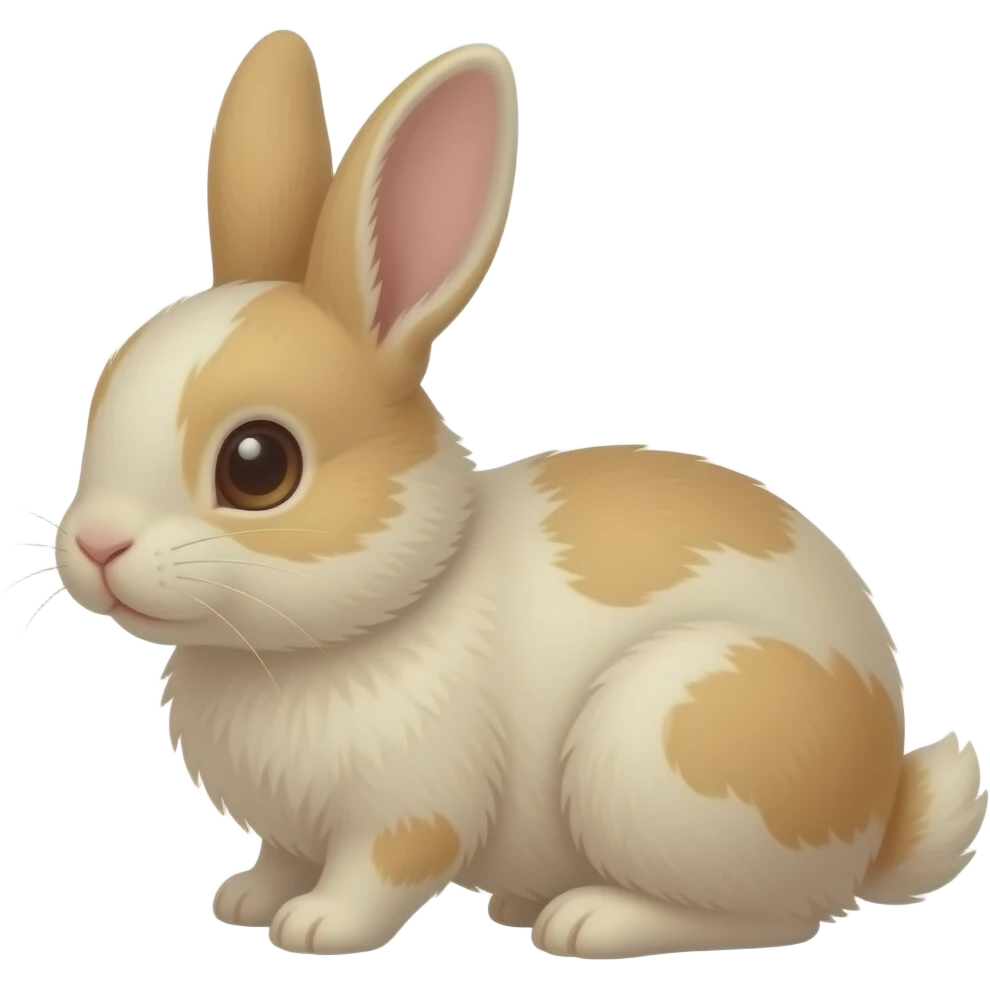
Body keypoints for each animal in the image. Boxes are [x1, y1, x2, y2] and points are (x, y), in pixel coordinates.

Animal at [41, 30, 985, 959]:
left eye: (257, 465)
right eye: (103, 389)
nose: (95, 546)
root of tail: (876, 817)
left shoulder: (411, 804)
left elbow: (378, 873)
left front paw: (314, 928)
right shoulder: (293, 827)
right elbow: (281, 856)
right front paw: (243, 900)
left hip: (666, 746)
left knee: (778, 916)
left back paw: (589, 919)